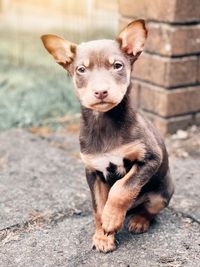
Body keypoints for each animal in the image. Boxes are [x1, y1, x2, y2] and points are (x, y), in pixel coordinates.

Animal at [41, 19, 174, 254]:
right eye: (81, 69)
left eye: (117, 65)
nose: (101, 92)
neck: (104, 123)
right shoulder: (93, 172)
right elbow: (98, 208)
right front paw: (103, 236)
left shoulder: (151, 158)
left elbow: (122, 188)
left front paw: (111, 219)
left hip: (163, 193)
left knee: (150, 211)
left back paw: (139, 221)